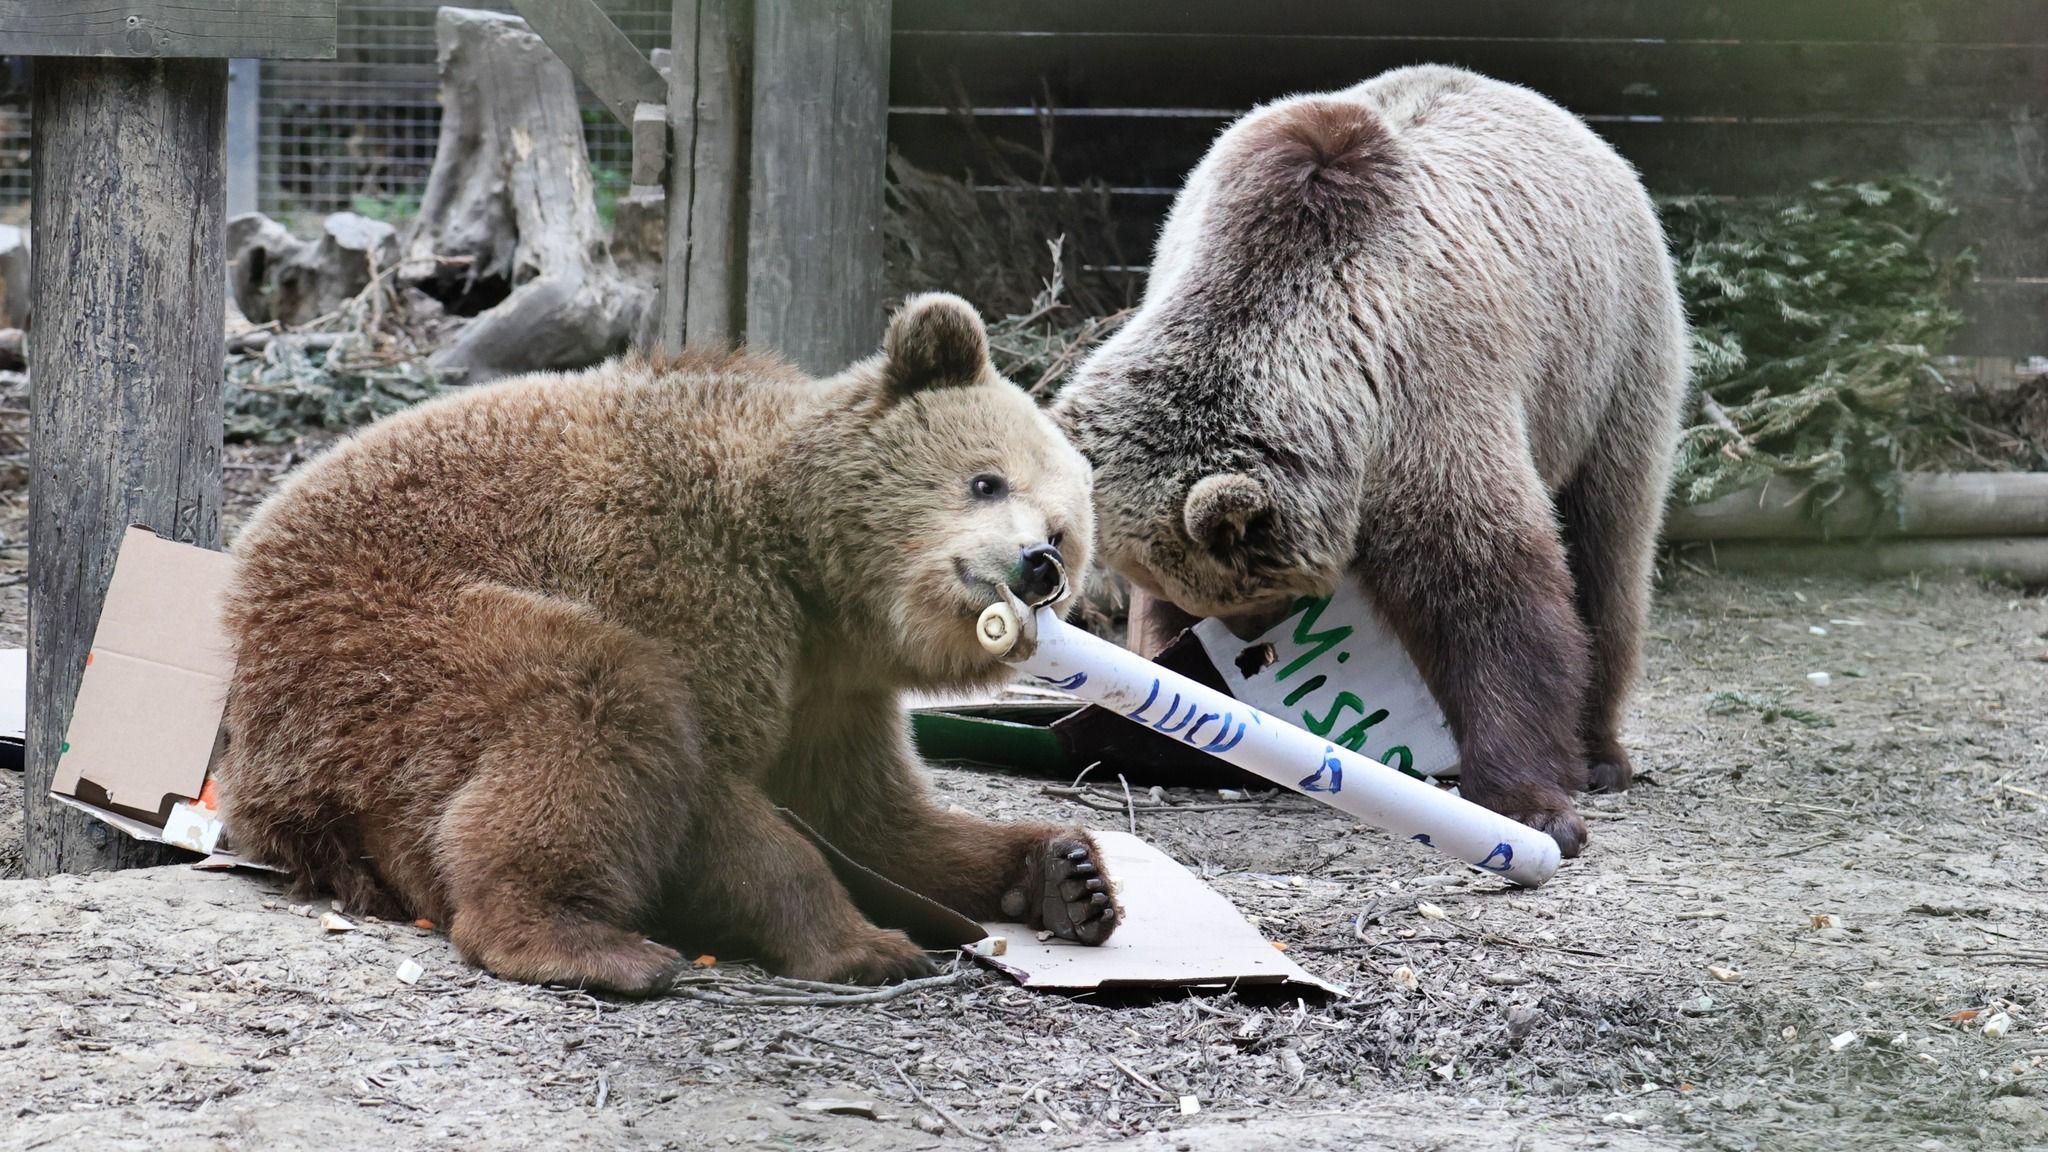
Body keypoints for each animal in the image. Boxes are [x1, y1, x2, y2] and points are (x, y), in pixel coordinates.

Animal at [215, 293, 1120, 995]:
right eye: (985, 479)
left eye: (1063, 534)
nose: (1035, 565)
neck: (813, 580)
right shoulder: (684, 576)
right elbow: (720, 793)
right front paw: (866, 944)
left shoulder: (833, 693)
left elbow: (872, 816)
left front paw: (1066, 874)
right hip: (380, 640)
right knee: (594, 704)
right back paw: (587, 942)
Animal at [1054, 66, 1690, 857]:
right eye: (1204, 597)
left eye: (1249, 593)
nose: (1247, 646)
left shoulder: (1427, 390)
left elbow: (1492, 597)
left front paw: (1530, 804)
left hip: (1609, 361)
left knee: (1609, 545)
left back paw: (1601, 753)